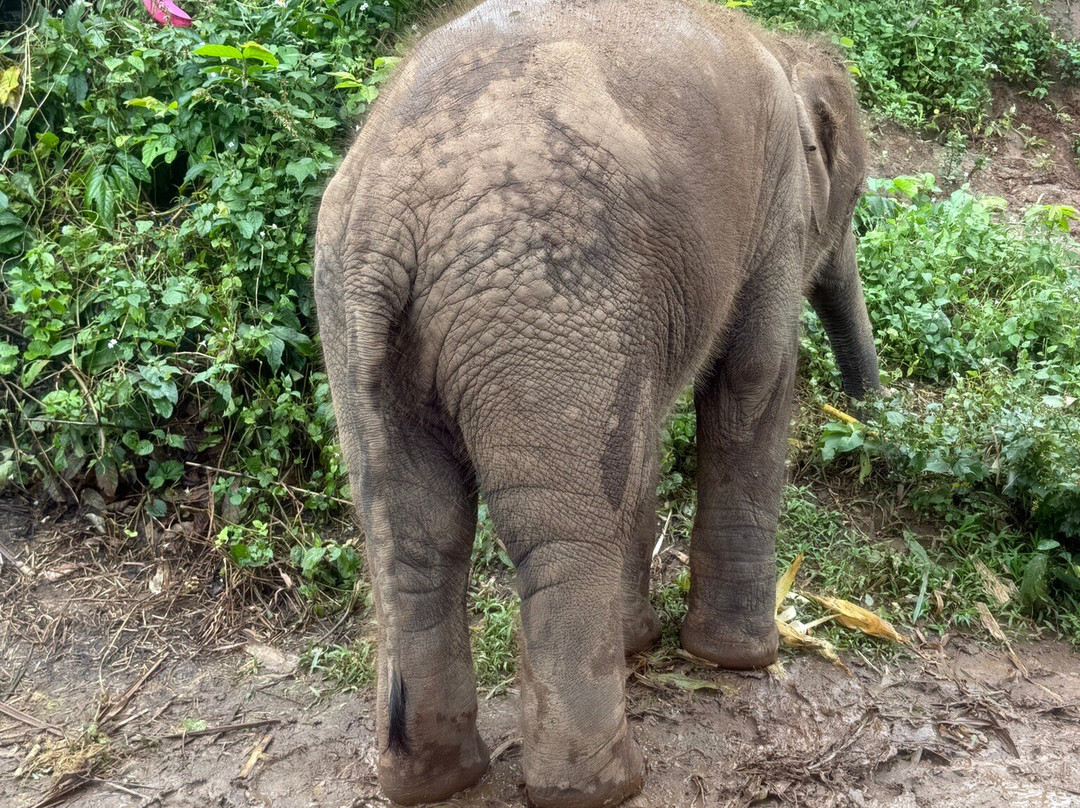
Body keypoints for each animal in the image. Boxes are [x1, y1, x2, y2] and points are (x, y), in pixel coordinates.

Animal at [314, 0, 881, 806]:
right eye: (857, 197)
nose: (871, 410)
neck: (783, 42)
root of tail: (390, 214)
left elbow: (641, 440)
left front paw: (639, 642)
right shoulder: (778, 207)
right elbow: (751, 381)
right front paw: (740, 661)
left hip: (355, 312)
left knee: (411, 528)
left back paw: (435, 779)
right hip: (548, 296)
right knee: (561, 533)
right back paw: (603, 785)